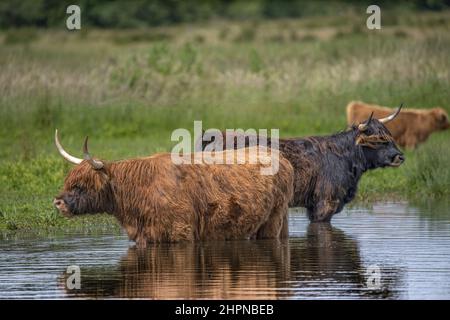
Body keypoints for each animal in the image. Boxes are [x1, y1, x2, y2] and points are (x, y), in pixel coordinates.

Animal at [52, 130, 294, 248]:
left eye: (81, 185)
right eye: (68, 181)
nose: (58, 202)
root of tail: (281, 157)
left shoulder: (181, 233)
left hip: (273, 221)